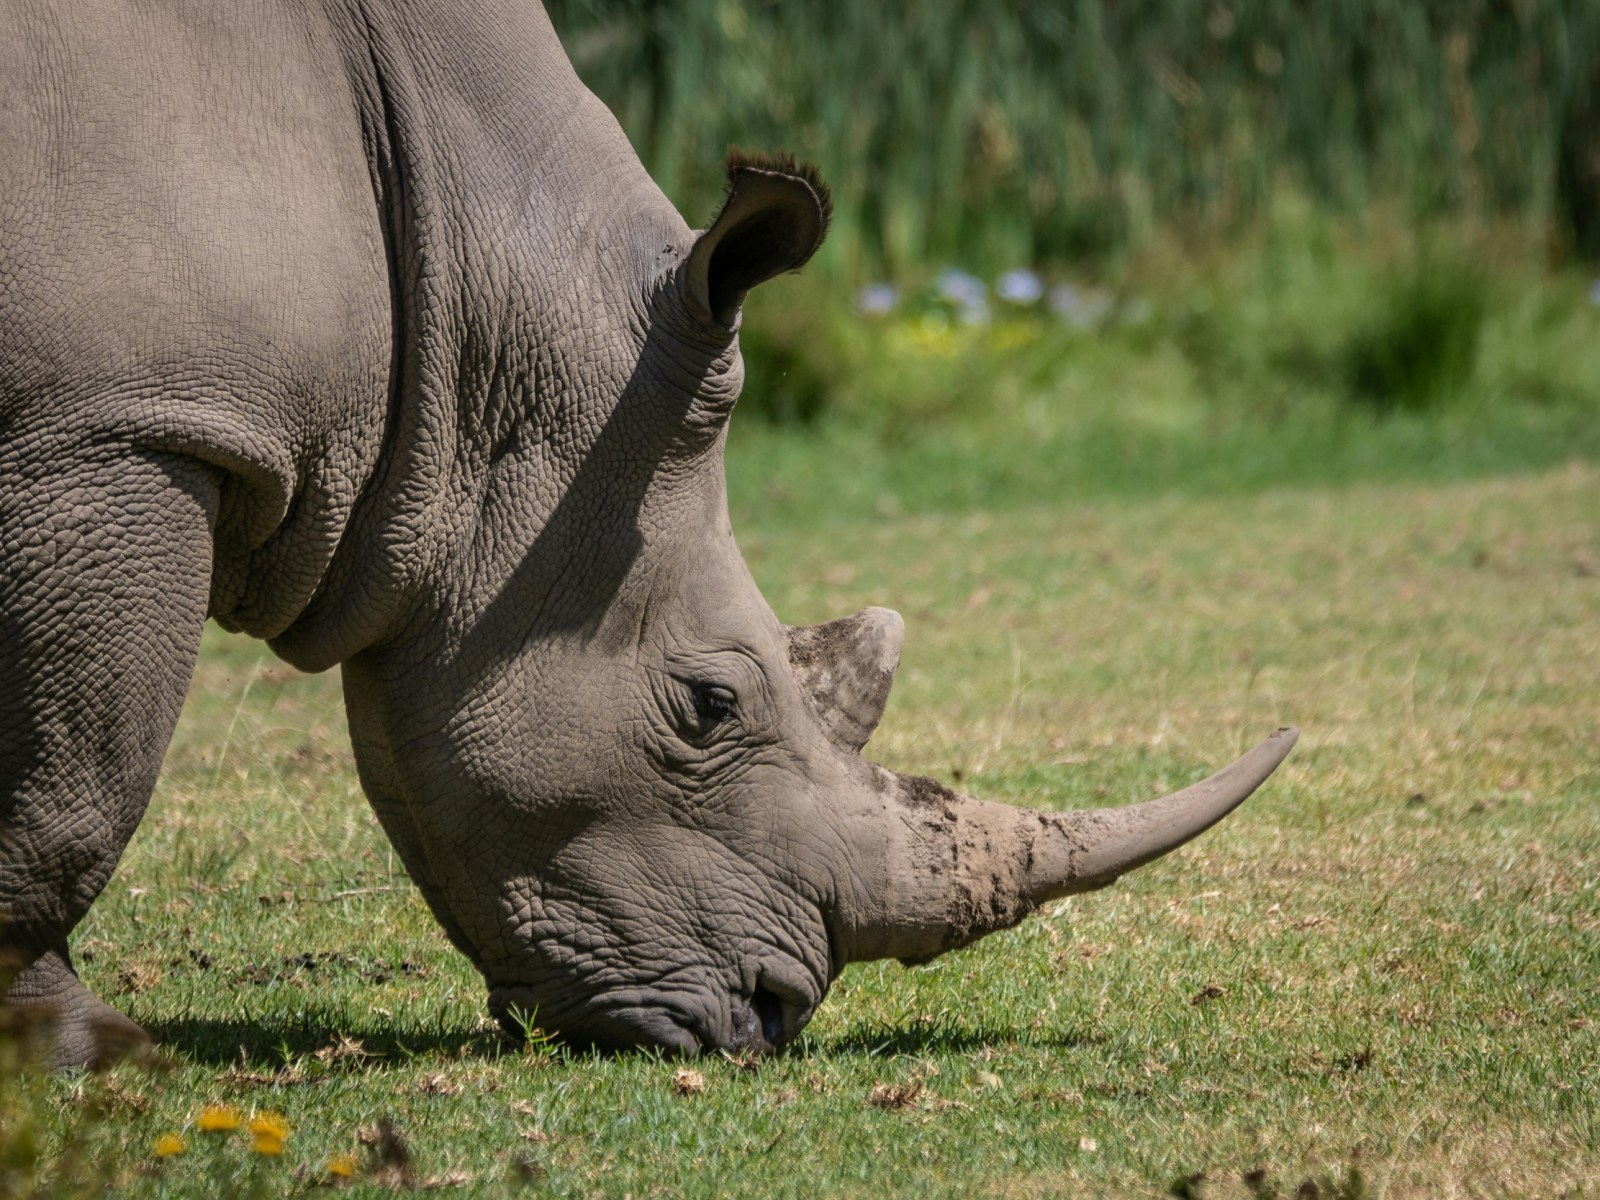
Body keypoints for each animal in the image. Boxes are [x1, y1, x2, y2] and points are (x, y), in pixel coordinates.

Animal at [0, 0, 1297, 1069]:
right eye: (710, 706)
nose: (773, 1018)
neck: (467, 285)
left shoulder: (98, 420)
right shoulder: (115, 425)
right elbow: (76, 778)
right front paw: (84, 1056)